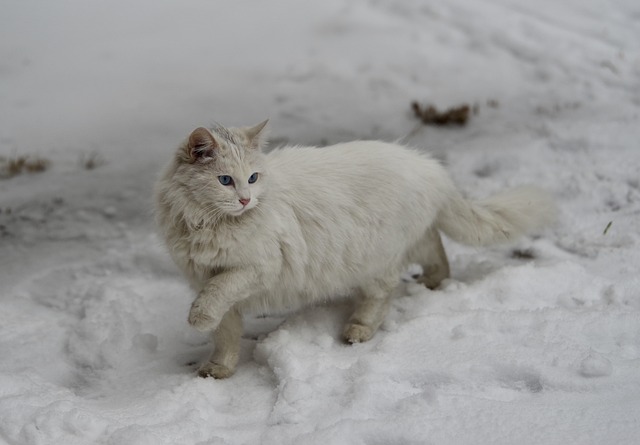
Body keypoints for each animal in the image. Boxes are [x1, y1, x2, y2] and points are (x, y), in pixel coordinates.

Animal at [154, 121, 556, 378]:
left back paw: (357, 330)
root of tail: (429, 167)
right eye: (225, 180)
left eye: (252, 178)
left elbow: (214, 300)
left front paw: (198, 320)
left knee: (382, 296)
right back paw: (434, 281)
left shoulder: (252, 270)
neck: (206, 225)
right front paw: (219, 368)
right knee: (436, 251)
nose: (244, 200)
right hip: (407, 242)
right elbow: (225, 332)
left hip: (376, 259)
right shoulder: (204, 278)